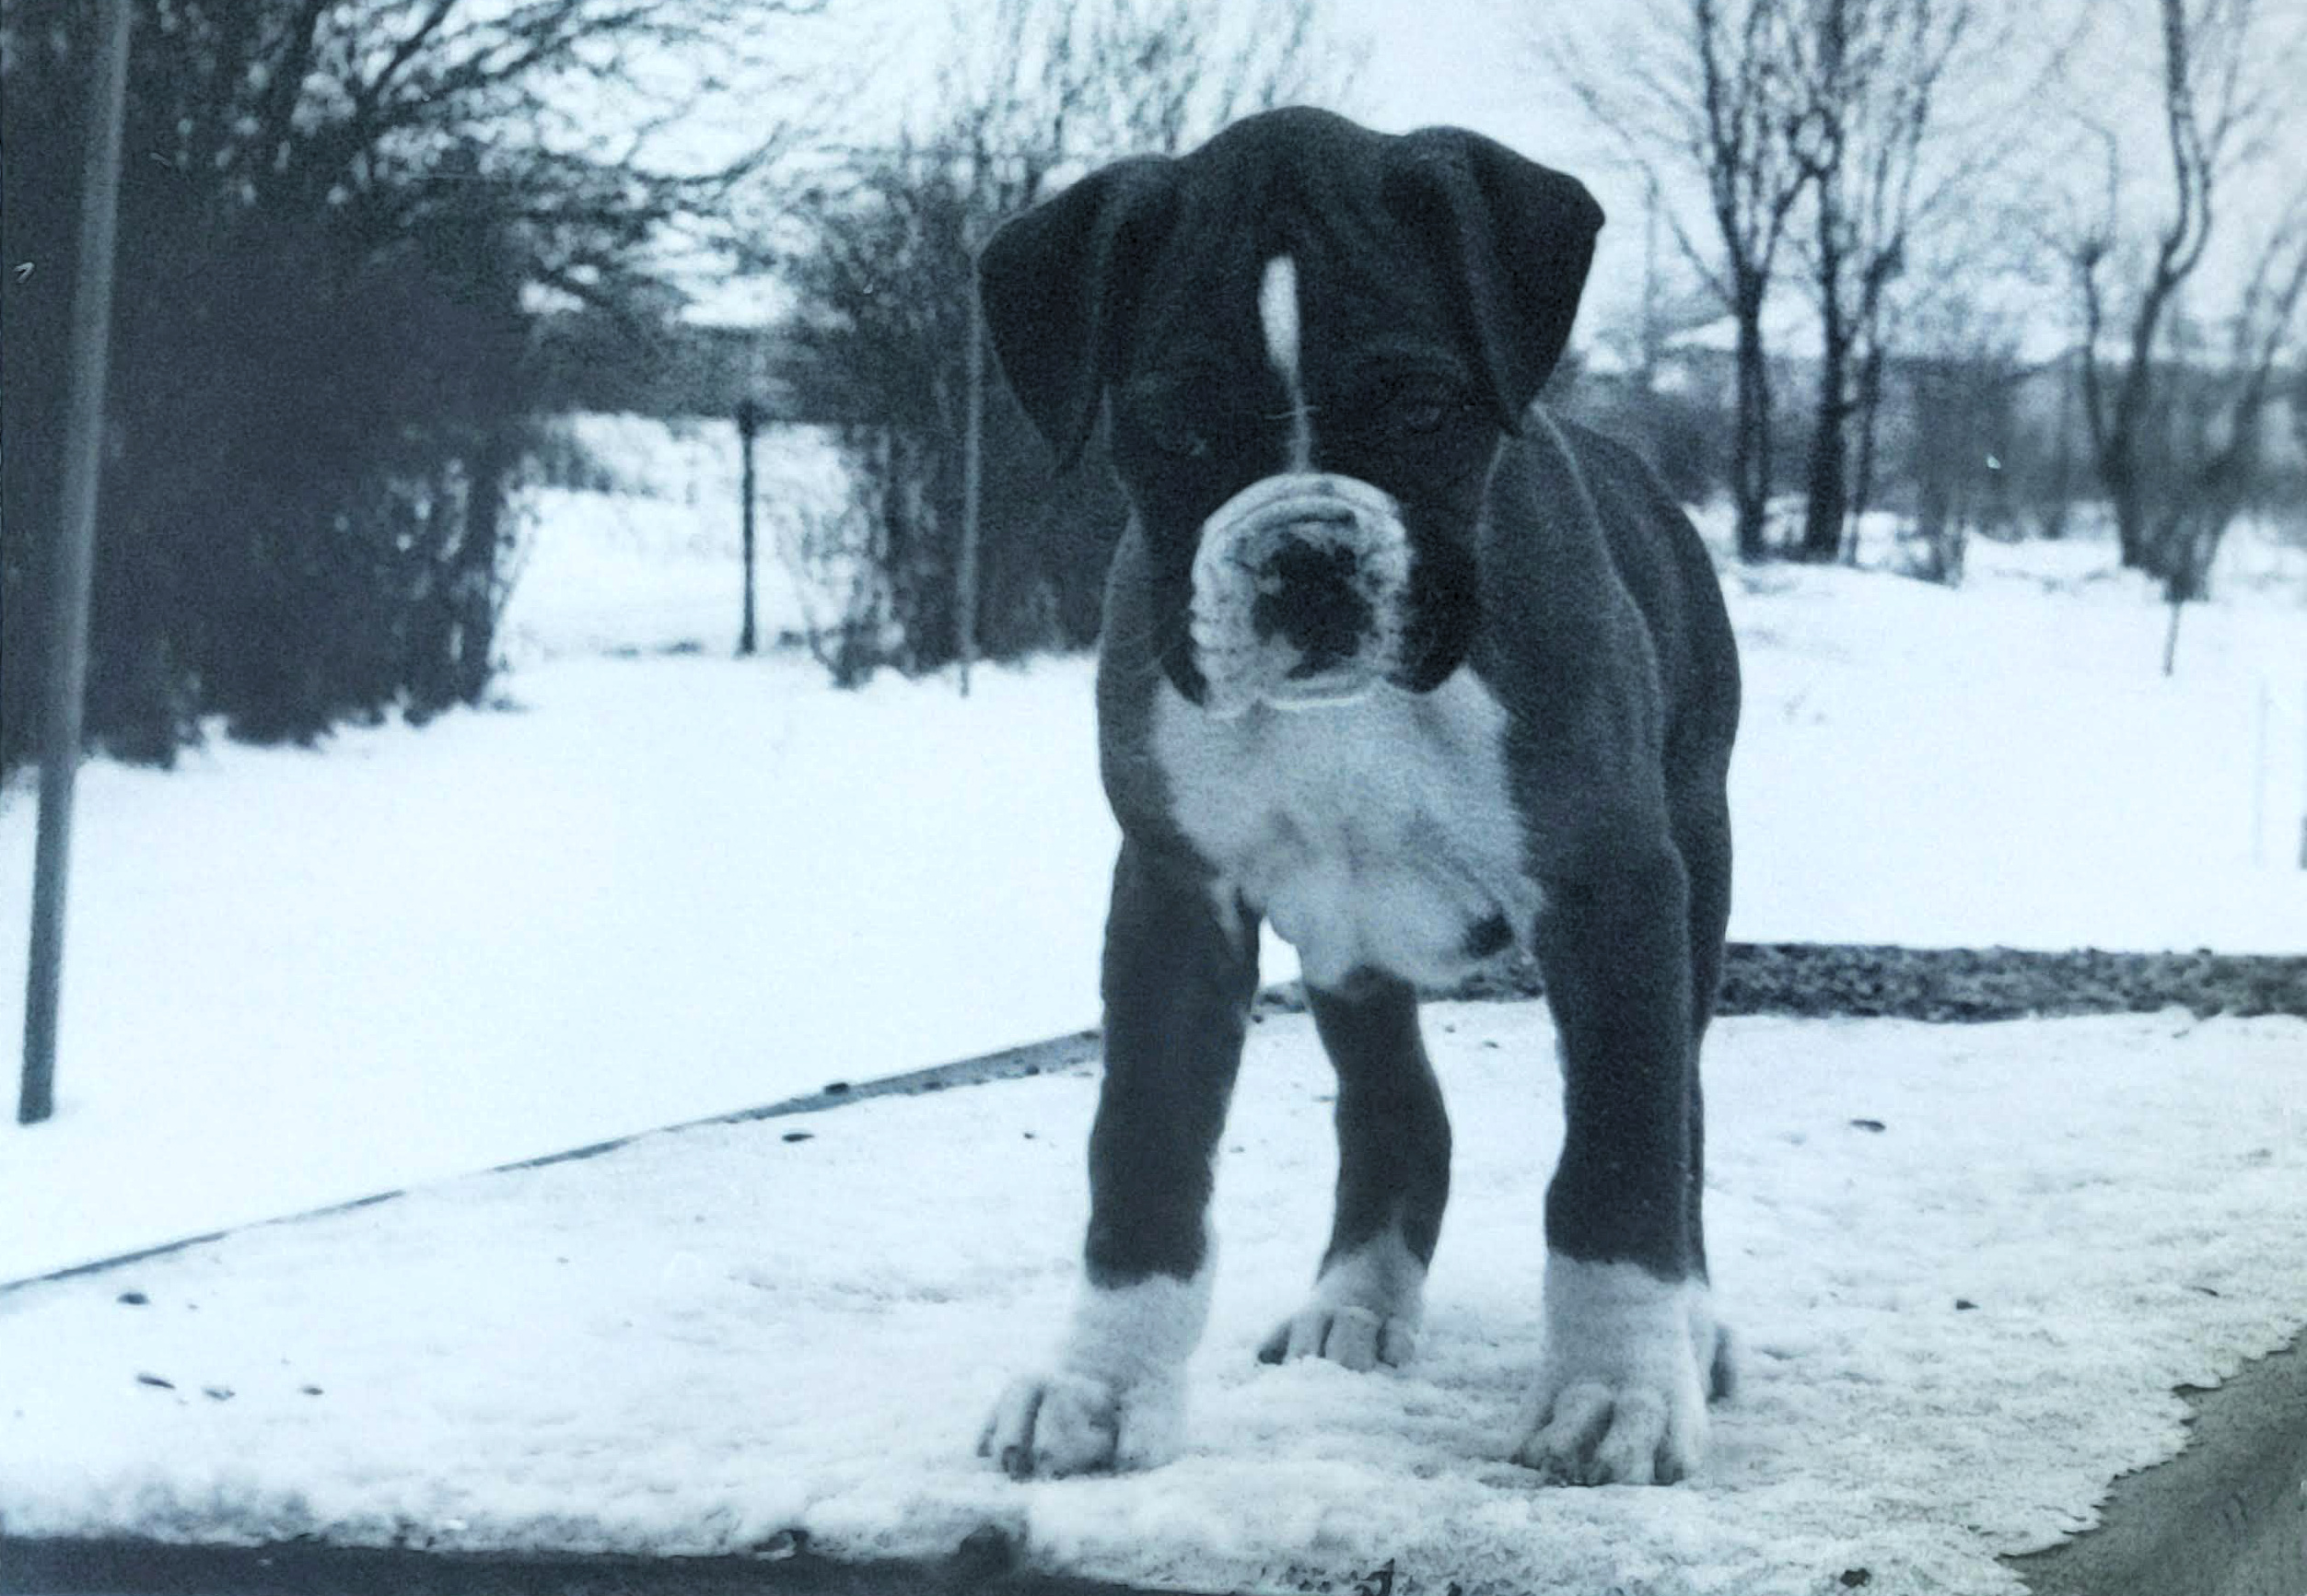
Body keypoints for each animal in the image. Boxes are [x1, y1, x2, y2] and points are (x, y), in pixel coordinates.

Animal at [964, 109, 1734, 1485]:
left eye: (1423, 406)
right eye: (1174, 430)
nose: (1306, 554)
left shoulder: (1612, 889)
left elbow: (1621, 1155)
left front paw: (1615, 1389)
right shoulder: (1176, 894)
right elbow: (1142, 1154)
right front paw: (1100, 1385)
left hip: (1698, 874)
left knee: (1679, 1110)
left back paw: (1685, 1329)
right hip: (1350, 947)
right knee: (1397, 1109)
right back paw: (1359, 1299)